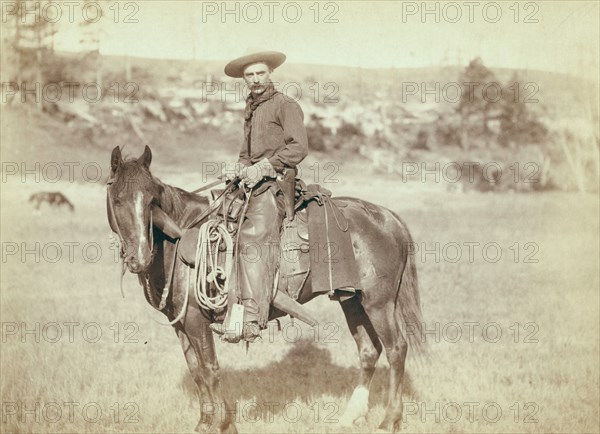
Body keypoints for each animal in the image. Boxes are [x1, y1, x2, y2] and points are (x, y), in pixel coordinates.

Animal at [108, 146, 426, 430]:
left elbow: (210, 370)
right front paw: (203, 423)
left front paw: (223, 424)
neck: (179, 238)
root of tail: (387, 217)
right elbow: (196, 371)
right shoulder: (181, 323)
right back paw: (351, 416)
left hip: (378, 303)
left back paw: (389, 420)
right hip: (351, 300)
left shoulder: (197, 321)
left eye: (152, 200)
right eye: (118, 200)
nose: (139, 257)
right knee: (369, 350)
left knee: (396, 349)